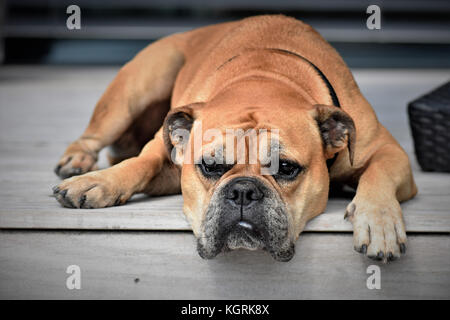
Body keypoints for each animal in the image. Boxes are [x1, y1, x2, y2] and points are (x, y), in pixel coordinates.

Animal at [53, 15, 418, 262]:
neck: (265, 77)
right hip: (135, 88)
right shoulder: (165, 154)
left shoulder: (389, 151)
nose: (243, 190)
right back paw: (78, 162)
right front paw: (99, 182)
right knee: (95, 136)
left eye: (286, 168)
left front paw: (379, 222)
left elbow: (378, 173)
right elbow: (141, 163)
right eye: (210, 167)